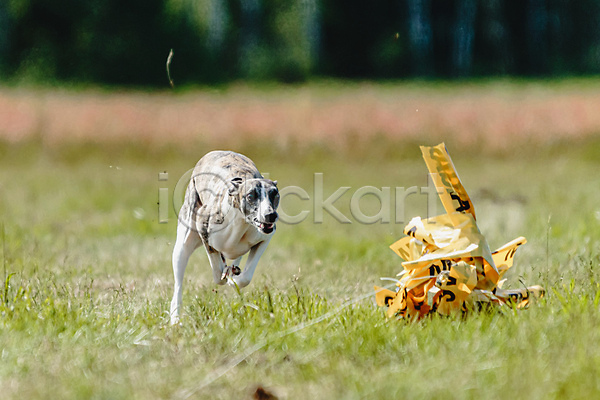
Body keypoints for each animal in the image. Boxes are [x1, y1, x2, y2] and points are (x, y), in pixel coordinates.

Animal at [170, 152, 280, 324]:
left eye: (275, 194)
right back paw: (175, 319)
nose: (271, 215)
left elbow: (246, 276)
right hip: (182, 247)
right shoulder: (203, 227)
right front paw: (224, 274)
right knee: (178, 287)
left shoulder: (264, 238)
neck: (240, 223)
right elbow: (217, 273)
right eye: (251, 196)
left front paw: (234, 280)